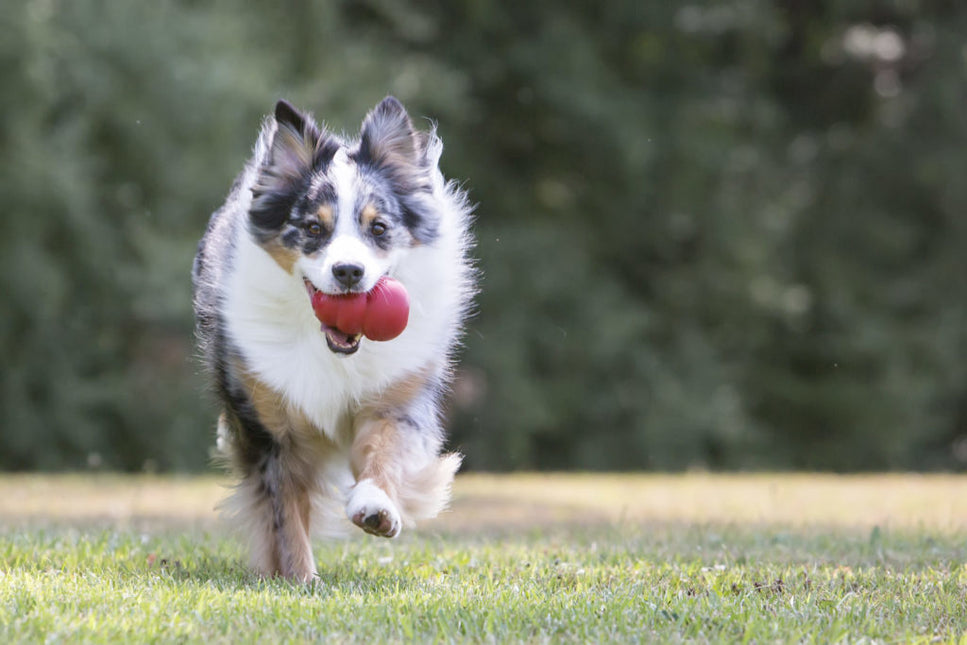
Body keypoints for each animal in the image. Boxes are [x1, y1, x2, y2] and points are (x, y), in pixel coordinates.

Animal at [191, 97, 474, 584]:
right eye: (313, 228)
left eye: (378, 228)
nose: (348, 272)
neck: (331, 348)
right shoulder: (272, 429)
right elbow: (285, 513)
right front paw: (302, 580)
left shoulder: (396, 397)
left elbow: (384, 450)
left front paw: (377, 508)